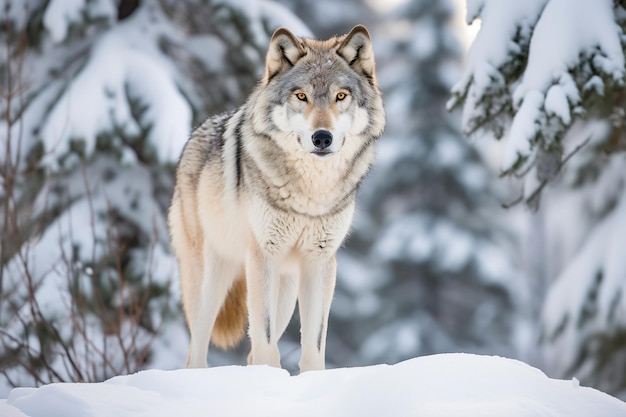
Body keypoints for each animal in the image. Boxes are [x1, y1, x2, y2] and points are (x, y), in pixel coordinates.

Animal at [169, 25, 386, 370]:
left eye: (341, 96)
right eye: (301, 96)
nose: (321, 138)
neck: (310, 193)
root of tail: (194, 136)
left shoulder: (320, 262)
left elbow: (314, 344)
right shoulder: (263, 256)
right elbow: (266, 339)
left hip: (285, 289)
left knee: (249, 351)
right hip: (210, 281)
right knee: (196, 350)